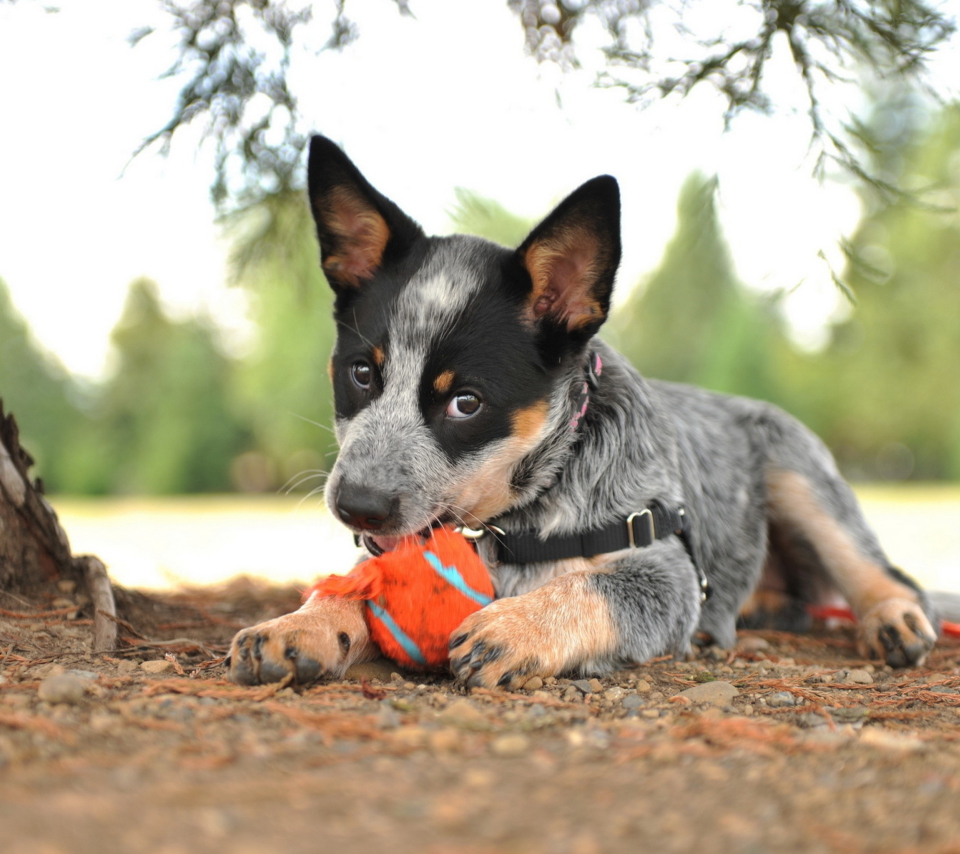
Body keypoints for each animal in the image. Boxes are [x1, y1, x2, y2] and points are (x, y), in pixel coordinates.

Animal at [227, 139, 936, 688]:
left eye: (465, 401)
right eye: (362, 373)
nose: (357, 505)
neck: (515, 522)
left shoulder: (668, 575)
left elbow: (595, 589)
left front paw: (517, 626)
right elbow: (351, 583)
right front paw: (301, 623)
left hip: (801, 478)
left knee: (887, 573)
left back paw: (893, 619)